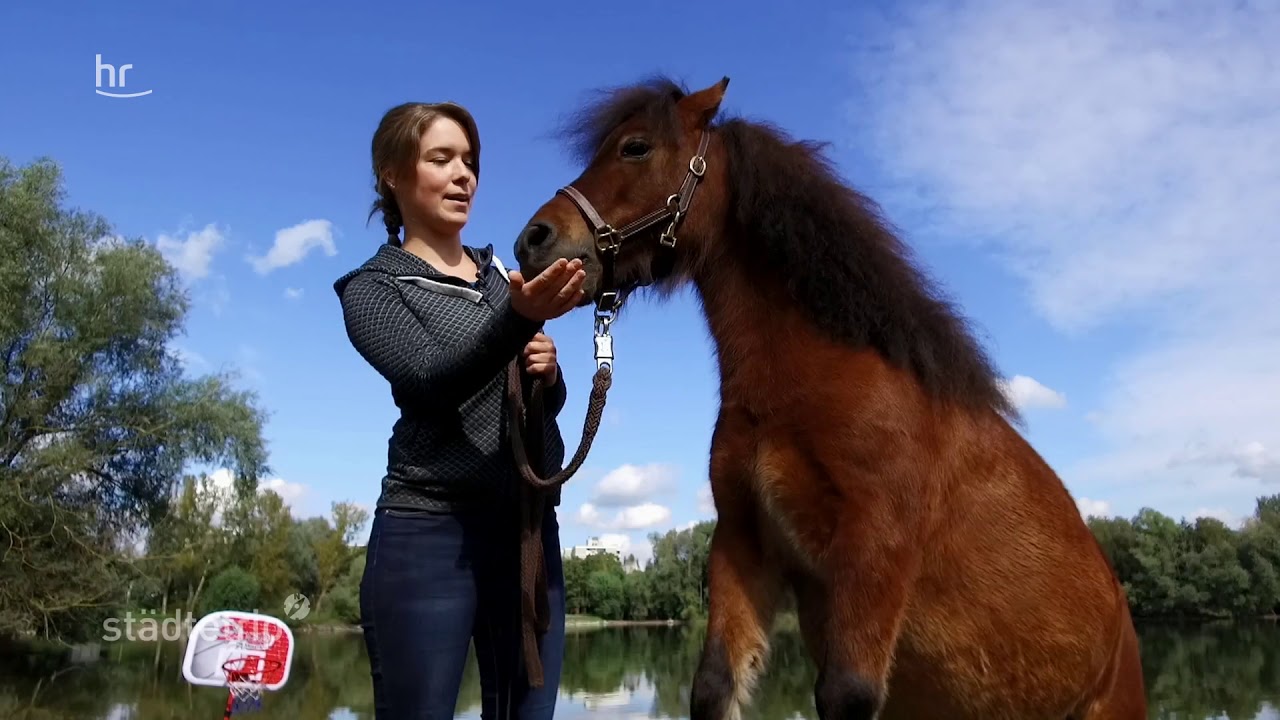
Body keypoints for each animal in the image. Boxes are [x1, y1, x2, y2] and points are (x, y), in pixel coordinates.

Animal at [512, 75, 1147, 719]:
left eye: (635, 147)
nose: (532, 240)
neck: (809, 388)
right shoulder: (744, 543)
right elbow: (715, 684)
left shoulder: (873, 553)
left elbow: (844, 692)